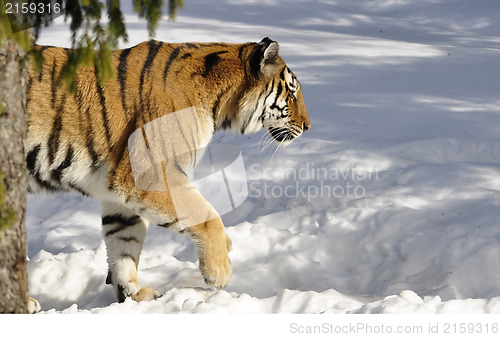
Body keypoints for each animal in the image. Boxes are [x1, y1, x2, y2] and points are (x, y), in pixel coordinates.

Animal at [26, 37, 312, 304]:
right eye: (291, 93)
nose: (308, 126)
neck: (219, 101)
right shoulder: (151, 173)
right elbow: (206, 215)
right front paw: (219, 271)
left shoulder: (117, 194)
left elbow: (124, 245)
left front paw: (133, 296)